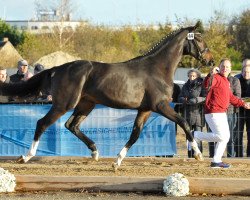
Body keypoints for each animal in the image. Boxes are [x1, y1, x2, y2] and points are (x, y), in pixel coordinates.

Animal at [0, 21, 213, 169]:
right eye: (199, 39)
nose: (210, 61)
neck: (158, 69)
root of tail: (58, 68)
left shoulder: (145, 109)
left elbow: (135, 134)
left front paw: (117, 161)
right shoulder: (160, 106)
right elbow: (184, 123)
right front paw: (198, 154)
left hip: (86, 104)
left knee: (71, 125)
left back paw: (95, 152)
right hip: (64, 104)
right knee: (42, 123)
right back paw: (26, 156)